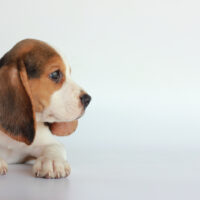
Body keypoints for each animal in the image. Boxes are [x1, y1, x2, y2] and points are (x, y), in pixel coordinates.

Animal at [0, 38, 91, 178]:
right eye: (55, 74)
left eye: (69, 73)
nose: (88, 99)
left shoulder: (45, 141)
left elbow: (55, 147)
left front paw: (52, 161)